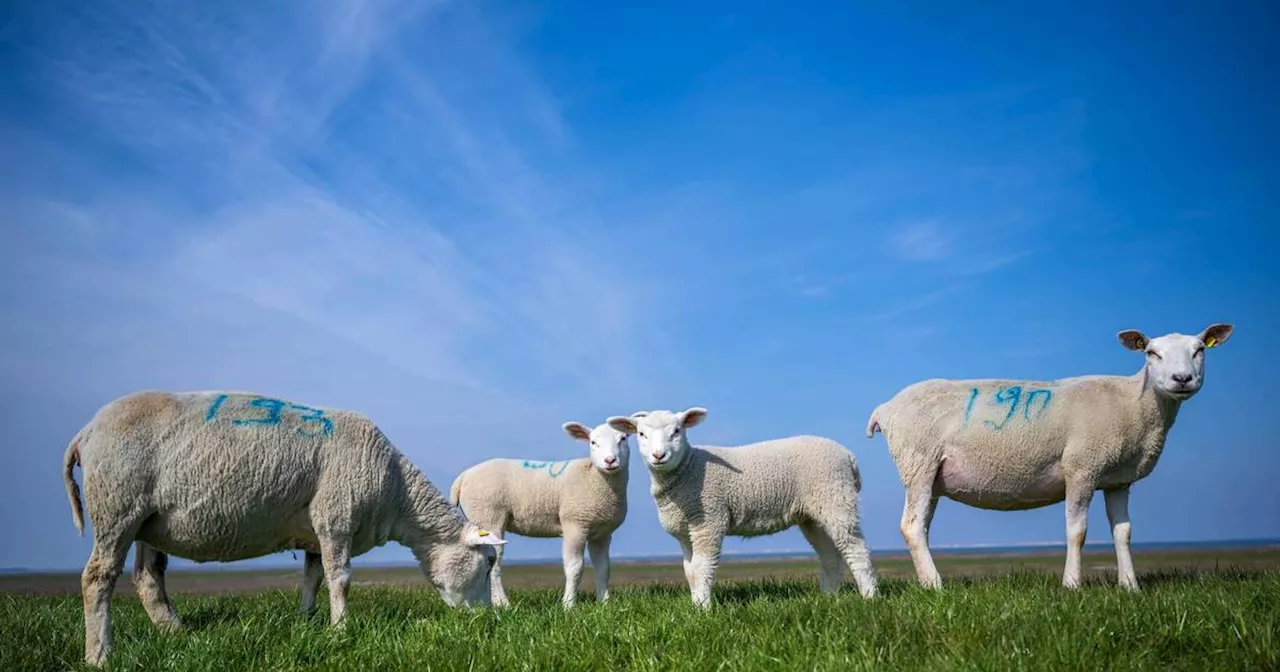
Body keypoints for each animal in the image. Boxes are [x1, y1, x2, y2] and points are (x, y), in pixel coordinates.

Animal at [62, 386, 504, 665]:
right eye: (486, 564)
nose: (485, 623)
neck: (396, 492)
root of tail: (85, 432)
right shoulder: (335, 516)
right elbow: (340, 579)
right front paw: (341, 630)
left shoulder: (315, 531)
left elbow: (313, 578)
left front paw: (307, 622)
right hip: (117, 505)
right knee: (98, 577)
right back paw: (100, 654)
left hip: (149, 520)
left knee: (147, 577)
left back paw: (177, 633)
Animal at [450, 419, 634, 606]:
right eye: (593, 442)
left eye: (623, 439)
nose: (610, 460)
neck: (593, 476)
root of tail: (464, 476)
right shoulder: (574, 523)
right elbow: (574, 567)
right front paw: (568, 604)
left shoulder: (602, 533)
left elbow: (603, 568)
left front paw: (604, 603)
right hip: (488, 516)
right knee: (493, 564)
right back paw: (503, 604)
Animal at [604, 407, 875, 609]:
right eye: (641, 434)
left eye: (677, 431)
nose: (659, 456)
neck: (688, 469)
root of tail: (848, 455)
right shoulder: (685, 531)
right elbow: (690, 571)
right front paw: (695, 606)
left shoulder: (709, 520)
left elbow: (702, 567)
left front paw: (703, 610)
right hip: (814, 513)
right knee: (830, 554)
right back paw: (829, 597)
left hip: (835, 497)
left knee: (856, 549)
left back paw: (870, 597)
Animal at [865, 322, 1233, 588]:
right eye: (1151, 353)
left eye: (1200, 350)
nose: (1182, 379)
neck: (1135, 403)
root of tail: (886, 407)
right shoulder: (1082, 466)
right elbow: (1077, 531)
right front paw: (1071, 585)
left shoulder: (1118, 480)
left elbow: (1123, 532)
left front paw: (1130, 587)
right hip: (919, 462)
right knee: (912, 526)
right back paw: (936, 585)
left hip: (931, 476)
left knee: (921, 527)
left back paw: (927, 582)